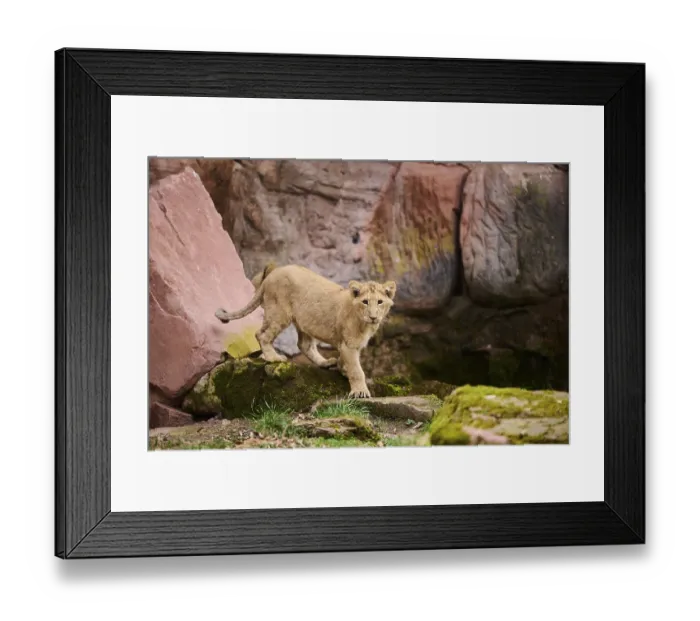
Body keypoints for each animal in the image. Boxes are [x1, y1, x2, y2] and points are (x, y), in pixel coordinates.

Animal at [215, 263, 396, 398]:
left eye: (380, 302)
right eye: (365, 302)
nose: (373, 317)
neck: (365, 324)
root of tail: (271, 275)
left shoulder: (350, 346)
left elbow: (347, 363)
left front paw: (341, 367)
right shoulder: (349, 346)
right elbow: (357, 370)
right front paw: (360, 391)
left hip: (305, 321)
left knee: (304, 345)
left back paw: (325, 362)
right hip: (279, 313)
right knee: (261, 334)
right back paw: (274, 357)